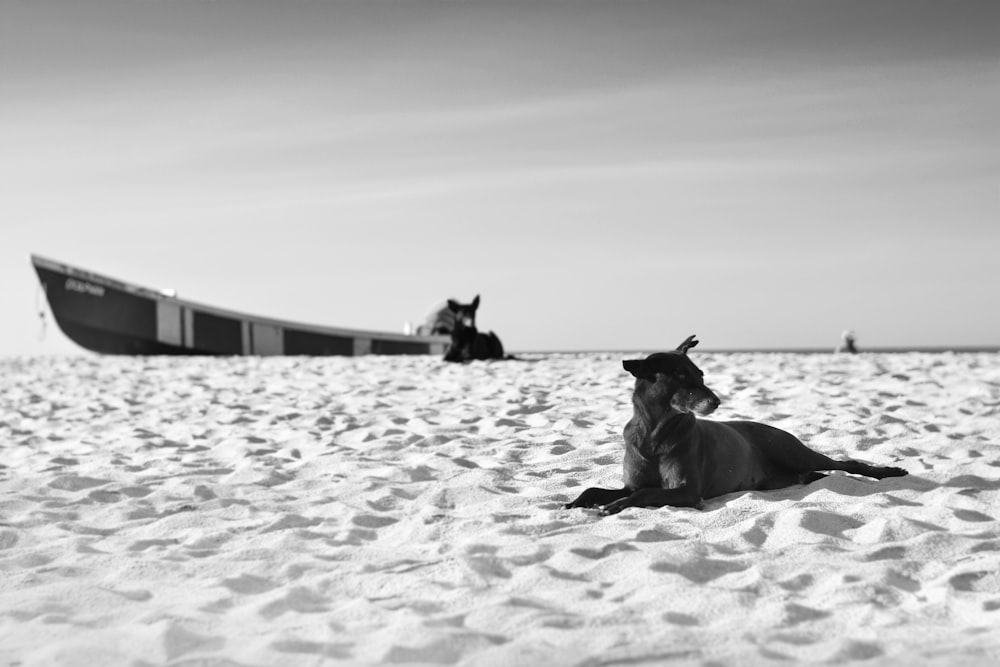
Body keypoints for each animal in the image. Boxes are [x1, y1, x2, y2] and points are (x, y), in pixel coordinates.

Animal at [572, 334, 908, 516]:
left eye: (700, 374)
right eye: (680, 376)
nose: (716, 402)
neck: (656, 432)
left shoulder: (688, 491)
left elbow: (640, 496)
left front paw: (615, 506)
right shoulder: (632, 482)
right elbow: (594, 488)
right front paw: (575, 503)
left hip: (794, 452)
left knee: (847, 463)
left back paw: (889, 472)